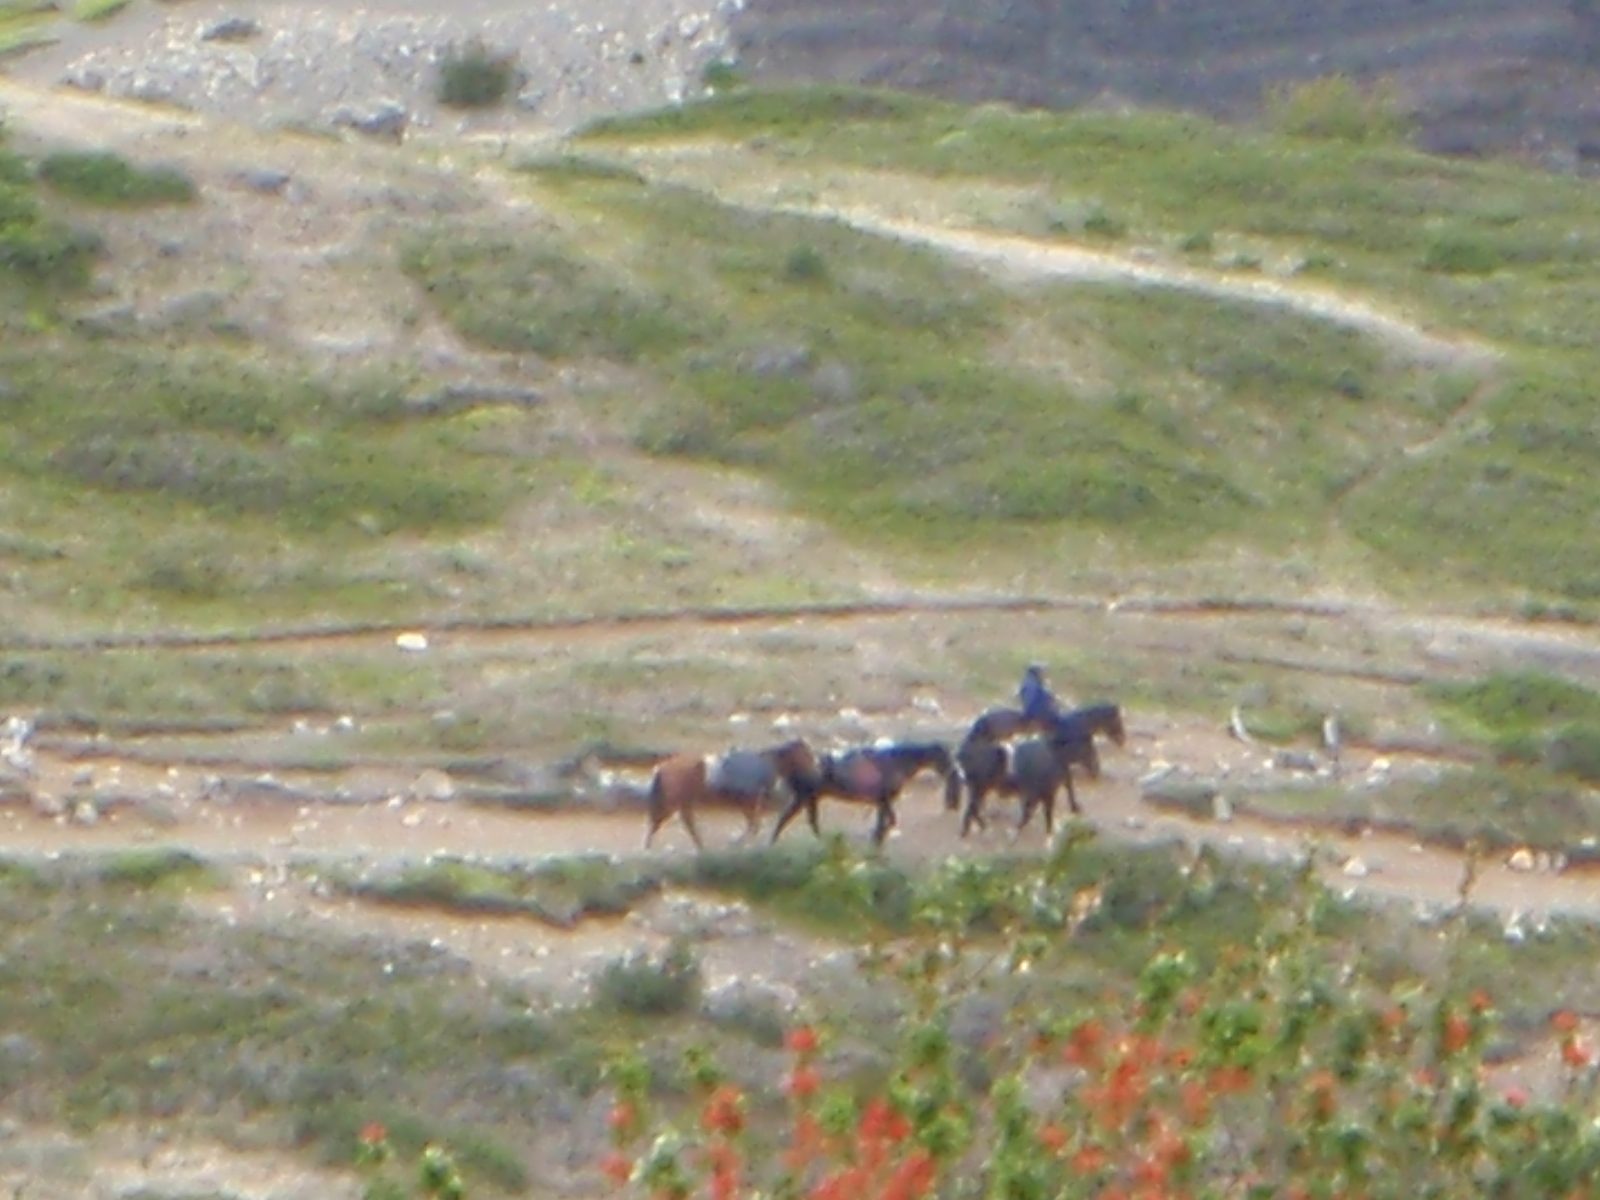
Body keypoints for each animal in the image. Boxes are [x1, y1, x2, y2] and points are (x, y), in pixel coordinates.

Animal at [644, 738, 822, 850]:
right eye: (807, 754)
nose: (816, 771)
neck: (766, 764)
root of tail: (663, 767)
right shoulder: (748, 802)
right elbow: (753, 825)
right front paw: (740, 843)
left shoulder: (750, 803)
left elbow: (754, 825)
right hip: (673, 803)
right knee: (659, 822)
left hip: (683, 802)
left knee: (683, 823)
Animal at [769, 740, 959, 848]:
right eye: (944, 757)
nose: (953, 773)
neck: (894, 763)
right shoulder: (884, 801)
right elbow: (885, 824)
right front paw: (876, 841)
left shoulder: (883, 802)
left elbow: (889, 822)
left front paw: (876, 839)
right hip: (804, 798)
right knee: (788, 819)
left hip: (810, 798)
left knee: (805, 821)